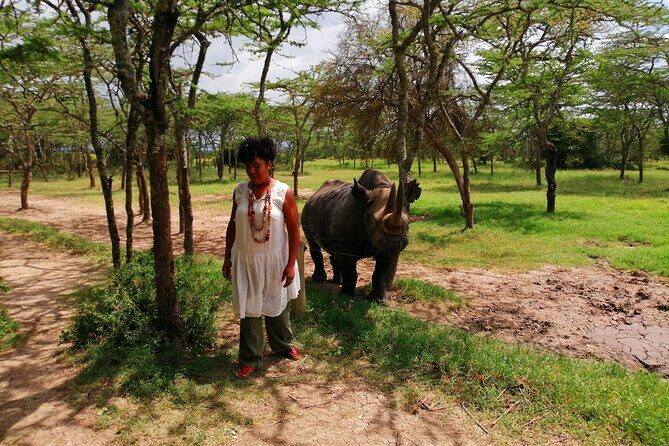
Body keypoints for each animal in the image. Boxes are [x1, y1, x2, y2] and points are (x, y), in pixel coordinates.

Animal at [301, 169, 421, 301]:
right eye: (371, 220)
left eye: (408, 222)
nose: (393, 243)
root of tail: (316, 193)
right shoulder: (345, 242)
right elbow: (350, 272)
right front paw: (346, 296)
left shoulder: (386, 249)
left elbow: (380, 274)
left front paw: (380, 300)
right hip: (306, 212)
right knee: (313, 243)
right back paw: (319, 279)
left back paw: (337, 281)